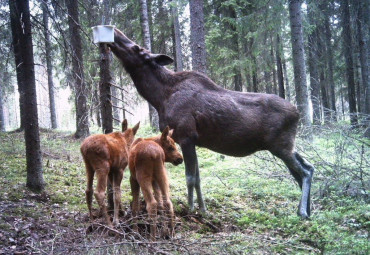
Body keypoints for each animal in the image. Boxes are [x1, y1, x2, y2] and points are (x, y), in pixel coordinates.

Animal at [107, 28, 316, 218]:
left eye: (136, 47)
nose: (114, 31)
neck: (159, 98)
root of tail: (298, 113)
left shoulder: (186, 137)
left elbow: (190, 177)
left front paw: (191, 209)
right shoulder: (192, 141)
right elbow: (199, 178)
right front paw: (203, 209)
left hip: (280, 145)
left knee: (304, 171)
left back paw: (302, 212)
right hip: (286, 145)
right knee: (307, 167)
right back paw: (308, 210)